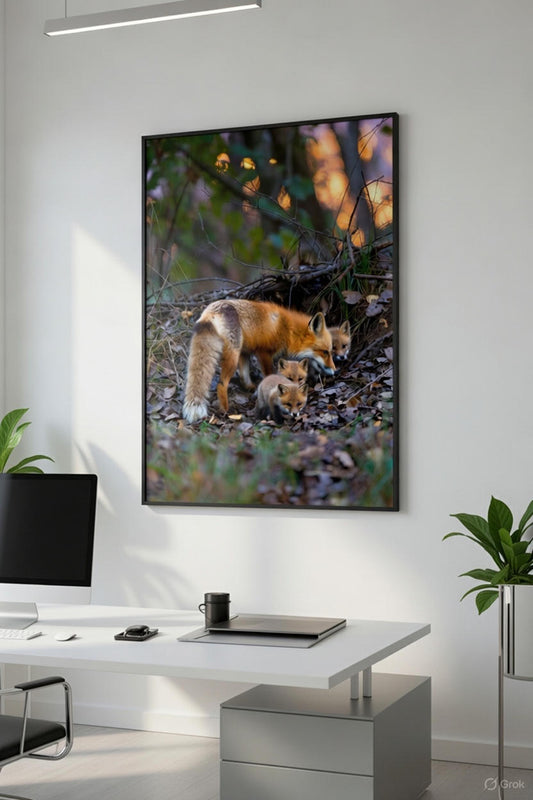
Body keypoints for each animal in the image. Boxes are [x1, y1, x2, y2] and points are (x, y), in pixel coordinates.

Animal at [182, 299, 335, 423]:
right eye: (325, 352)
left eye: (330, 351)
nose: (334, 370)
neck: (288, 330)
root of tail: (211, 310)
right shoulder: (264, 352)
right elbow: (269, 375)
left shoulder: (246, 352)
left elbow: (244, 375)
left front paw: (252, 388)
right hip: (233, 355)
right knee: (222, 384)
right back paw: (226, 411)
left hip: (238, 351)